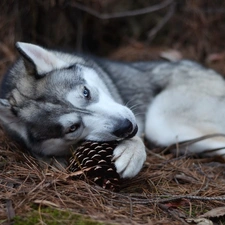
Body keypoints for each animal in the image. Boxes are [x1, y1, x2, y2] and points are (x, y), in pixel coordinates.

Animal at [0, 43, 225, 178]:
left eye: (86, 92)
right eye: (73, 128)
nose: (127, 126)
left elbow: (137, 138)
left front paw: (131, 152)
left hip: (161, 123)